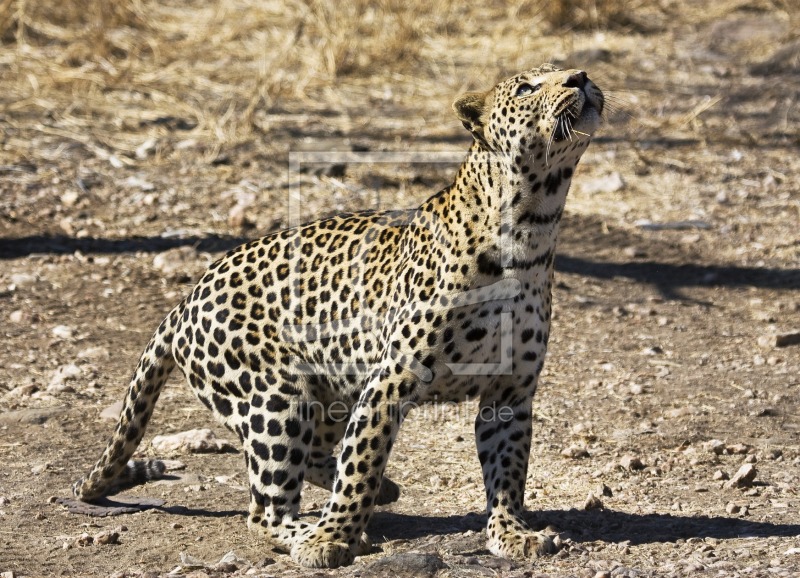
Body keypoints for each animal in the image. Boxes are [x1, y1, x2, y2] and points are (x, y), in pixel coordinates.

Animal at [75, 64, 604, 568]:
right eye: (527, 88)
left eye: (566, 70)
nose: (580, 78)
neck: (533, 224)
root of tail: (185, 300)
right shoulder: (390, 379)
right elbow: (361, 463)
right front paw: (332, 538)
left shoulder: (510, 390)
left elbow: (507, 469)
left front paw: (511, 532)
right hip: (276, 399)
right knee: (265, 510)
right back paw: (309, 530)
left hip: (327, 392)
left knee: (318, 453)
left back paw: (374, 493)